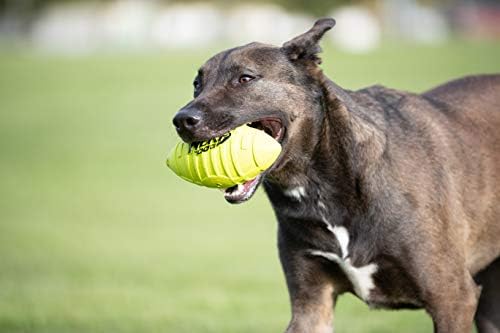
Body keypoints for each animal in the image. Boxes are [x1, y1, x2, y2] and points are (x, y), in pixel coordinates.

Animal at [172, 18, 500, 332]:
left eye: (245, 78)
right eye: (197, 84)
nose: (182, 120)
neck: (323, 186)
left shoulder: (452, 299)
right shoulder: (311, 307)